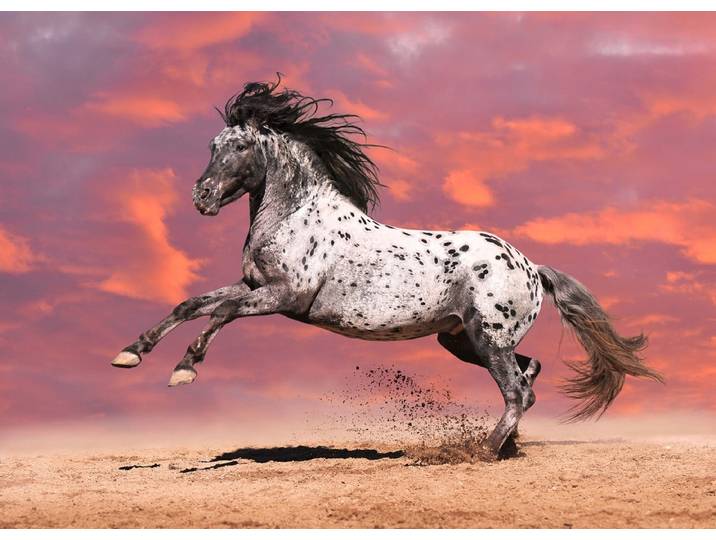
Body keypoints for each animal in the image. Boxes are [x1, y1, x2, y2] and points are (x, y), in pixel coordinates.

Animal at [111, 78, 663, 457]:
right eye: (212, 146)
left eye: (242, 146)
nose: (202, 197)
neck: (296, 215)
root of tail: (530, 266)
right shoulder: (253, 286)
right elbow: (192, 303)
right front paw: (130, 354)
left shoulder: (282, 297)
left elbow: (221, 314)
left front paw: (184, 370)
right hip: (463, 340)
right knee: (529, 376)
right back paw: (506, 447)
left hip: (488, 338)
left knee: (516, 392)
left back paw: (481, 452)